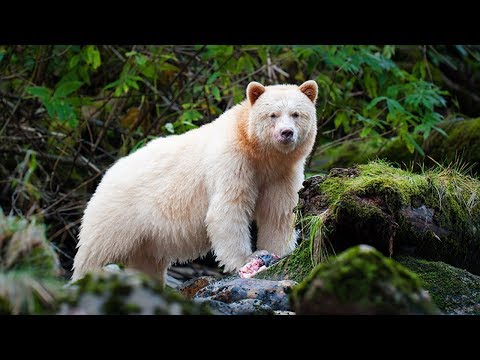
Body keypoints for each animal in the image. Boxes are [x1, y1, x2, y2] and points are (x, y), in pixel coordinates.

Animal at [72, 80, 318, 282]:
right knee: (96, 253)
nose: (286, 133)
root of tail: (108, 173)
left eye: (296, 114)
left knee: (146, 262)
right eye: (273, 115)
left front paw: (280, 252)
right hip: (118, 215)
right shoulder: (232, 162)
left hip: (147, 236)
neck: (260, 153)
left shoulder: (281, 173)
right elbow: (228, 210)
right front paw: (247, 259)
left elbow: (278, 211)